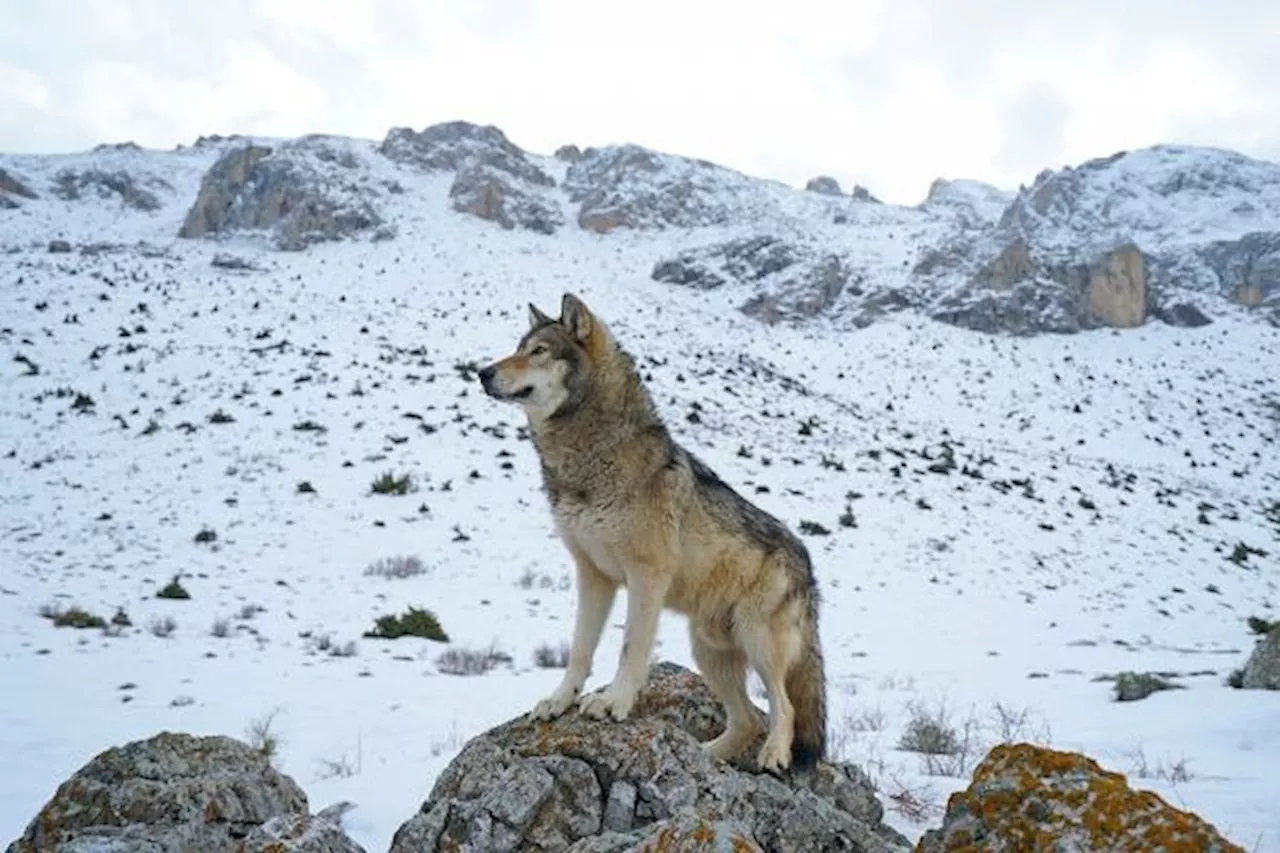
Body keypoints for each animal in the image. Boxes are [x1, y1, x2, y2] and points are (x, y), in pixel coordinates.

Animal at [481, 292, 829, 768]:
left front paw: (613, 703)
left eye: (539, 351)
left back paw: (774, 755)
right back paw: (706, 755)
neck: (588, 457)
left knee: (783, 705)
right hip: (709, 649)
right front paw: (559, 701)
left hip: (757, 639)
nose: (482, 372)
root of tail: (808, 563)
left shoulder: (647, 576)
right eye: (518, 347)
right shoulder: (593, 575)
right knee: (746, 721)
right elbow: (579, 649)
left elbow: (631, 647)